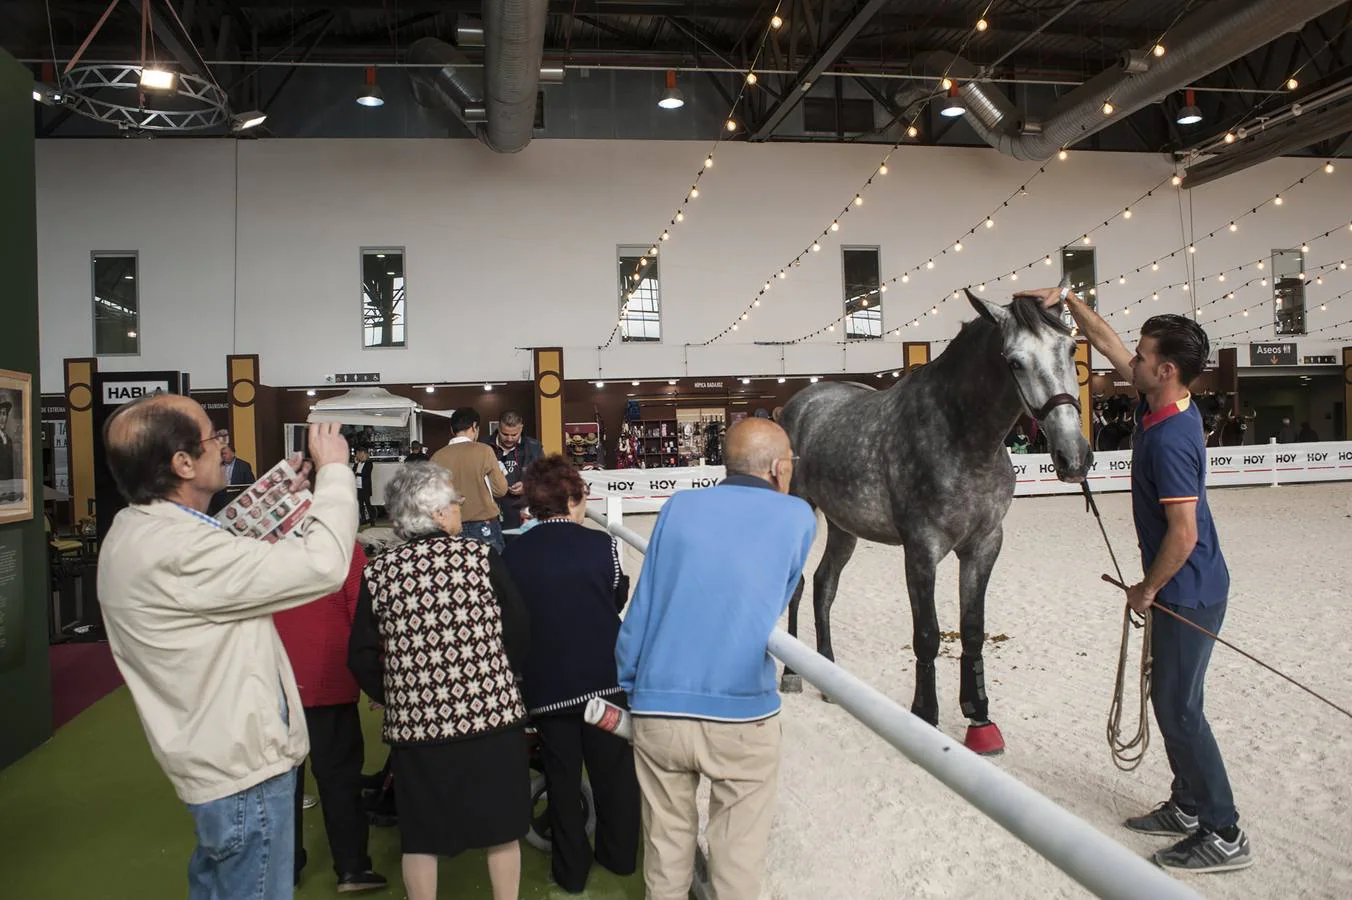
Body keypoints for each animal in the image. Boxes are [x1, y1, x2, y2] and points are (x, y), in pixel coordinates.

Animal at [784, 290, 1087, 751]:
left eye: (1070, 349)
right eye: (1015, 362)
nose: (1073, 457)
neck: (962, 437)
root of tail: (797, 405)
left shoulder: (984, 545)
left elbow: (973, 629)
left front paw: (979, 717)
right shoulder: (921, 549)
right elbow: (927, 634)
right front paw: (924, 715)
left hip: (843, 527)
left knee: (824, 585)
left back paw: (828, 672)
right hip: (800, 508)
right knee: (799, 585)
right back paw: (791, 674)